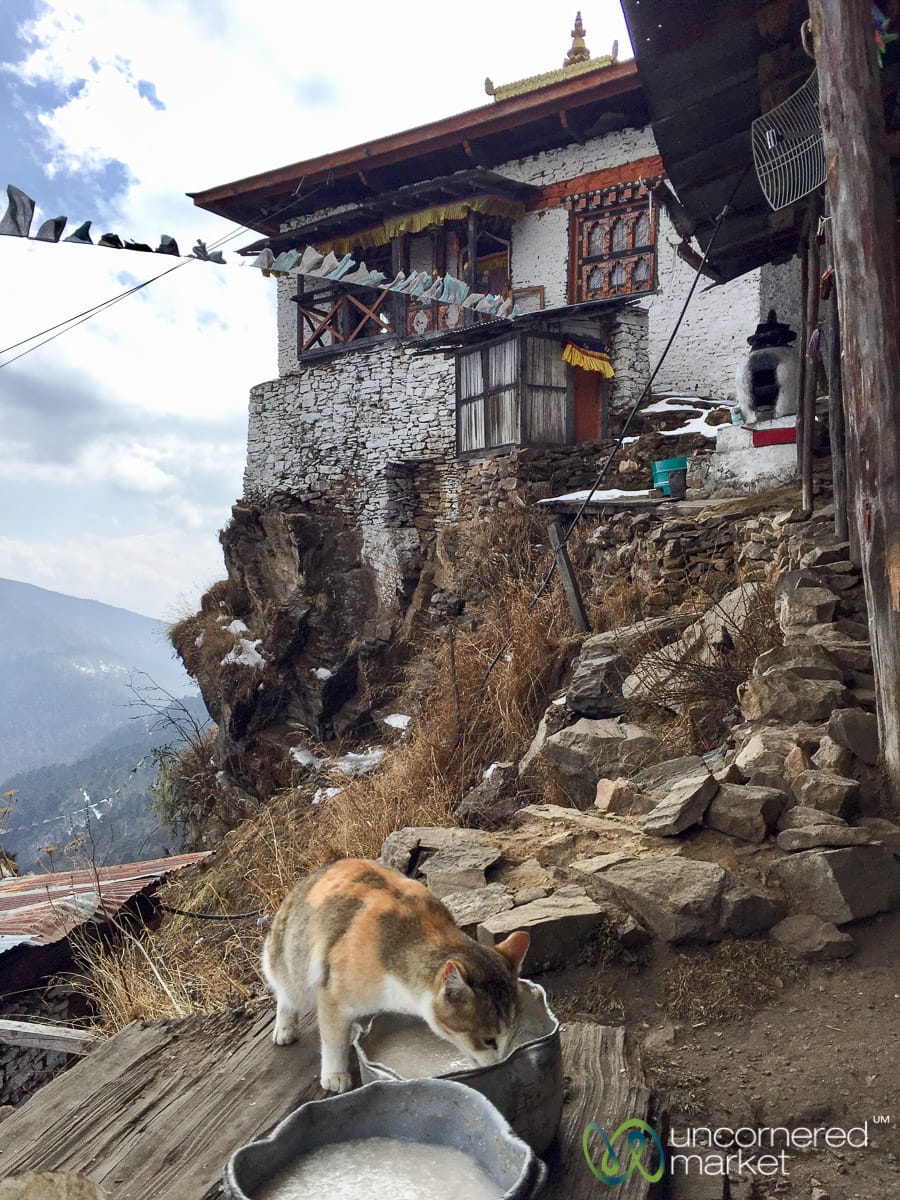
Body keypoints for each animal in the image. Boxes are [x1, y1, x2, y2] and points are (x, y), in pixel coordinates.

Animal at [262, 859, 528, 1094]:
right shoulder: (332, 996)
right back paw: (285, 1027)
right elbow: (333, 1040)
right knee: (286, 993)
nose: (501, 1062)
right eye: (488, 1040)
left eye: (512, 1036)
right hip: (292, 963)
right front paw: (335, 1075)